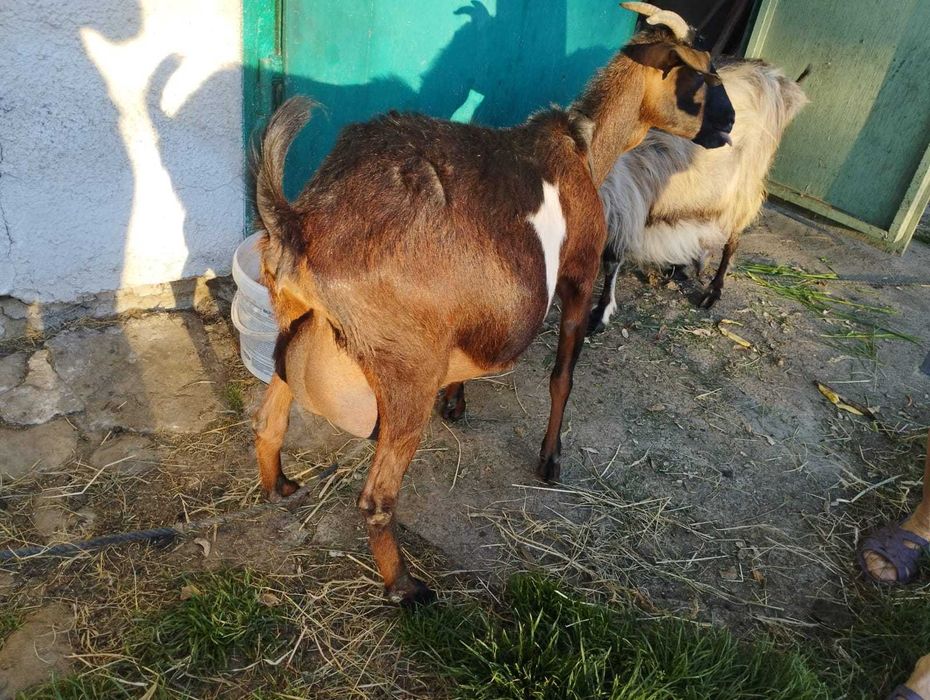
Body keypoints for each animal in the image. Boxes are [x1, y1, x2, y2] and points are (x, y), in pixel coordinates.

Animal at [251, 2, 735, 606]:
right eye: (699, 77)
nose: (729, 126)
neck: (584, 149)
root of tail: (303, 225)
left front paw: (457, 402)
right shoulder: (578, 276)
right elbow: (562, 374)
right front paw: (551, 459)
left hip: (289, 329)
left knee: (268, 421)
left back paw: (280, 486)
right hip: (406, 370)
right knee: (377, 497)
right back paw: (407, 588)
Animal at [589, 58, 808, 332]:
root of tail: (774, 79)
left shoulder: (625, 201)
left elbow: (612, 260)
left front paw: (600, 313)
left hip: (744, 187)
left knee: (732, 238)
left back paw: (713, 291)